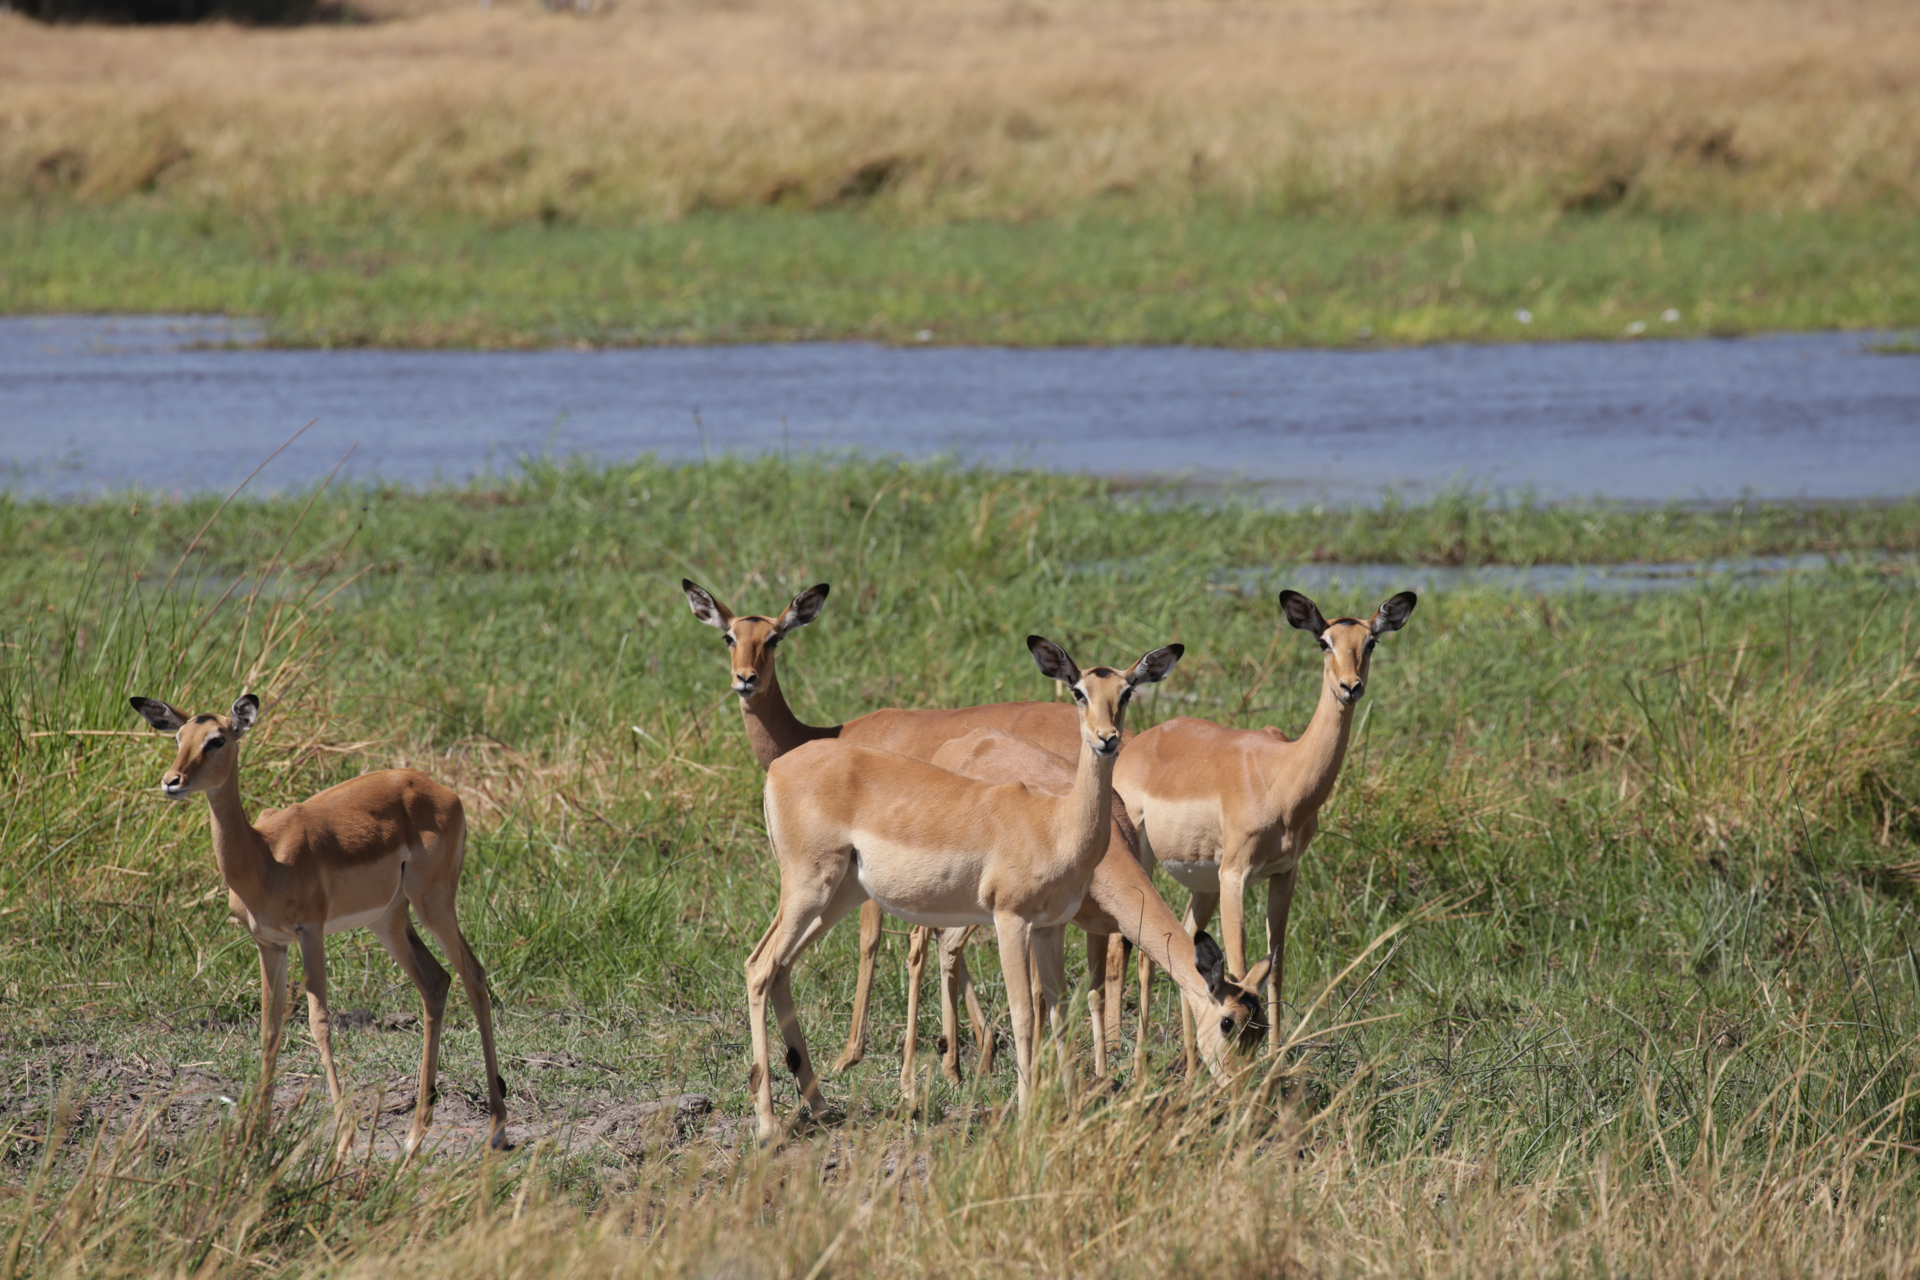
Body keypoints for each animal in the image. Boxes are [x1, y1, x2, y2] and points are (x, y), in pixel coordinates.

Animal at [131, 694, 507, 1154]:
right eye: (179, 737)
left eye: (217, 739)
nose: (172, 781)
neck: (265, 857)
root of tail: (444, 792)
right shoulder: (269, 943)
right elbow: (269, 1029)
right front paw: (257, 1135)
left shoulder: (310, 933)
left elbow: (319, 1023)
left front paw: (345, 1137)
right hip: (388, 919)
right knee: (436, 982)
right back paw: (414, 1135)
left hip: (433, 904)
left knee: (473, 975)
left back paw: (496, 1127)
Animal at [684, 578, 1139, 1080]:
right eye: (729, 636)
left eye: (774, 638)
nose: (745, 679)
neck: (824, 736)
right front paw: (970, 1050)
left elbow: (872, 943)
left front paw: (855, 1054)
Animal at [747, 637, 1180, 1141]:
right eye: (1078, 691)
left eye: (1126, 692)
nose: (1106, 738)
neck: (1055, 824)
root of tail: (779, 767)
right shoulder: (1010, 919)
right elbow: (1024, 1013)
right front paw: (1027, 1114)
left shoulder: (1049, 927)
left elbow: (1058, 1010)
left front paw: (1070, 1109)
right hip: (809, 890)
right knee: (759, 967)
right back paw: (769, 1123)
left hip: (835, 898)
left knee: (780, 969)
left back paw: (817, 1104)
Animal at [1115, 589, 1417, 1070]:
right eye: (1323, 642)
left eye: (1370, 642)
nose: (1350, 687)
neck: (1281, 777)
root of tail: (1140, 743)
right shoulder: (1235, 876)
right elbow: (1239, 968)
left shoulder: (1284, 873)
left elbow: (1274, 967)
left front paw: (1274, 1060)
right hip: (1151, 861)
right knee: (1133, 948)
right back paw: (1142, 1062)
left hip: (1203, 884)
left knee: (1178, 943)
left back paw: (1188, 1062)